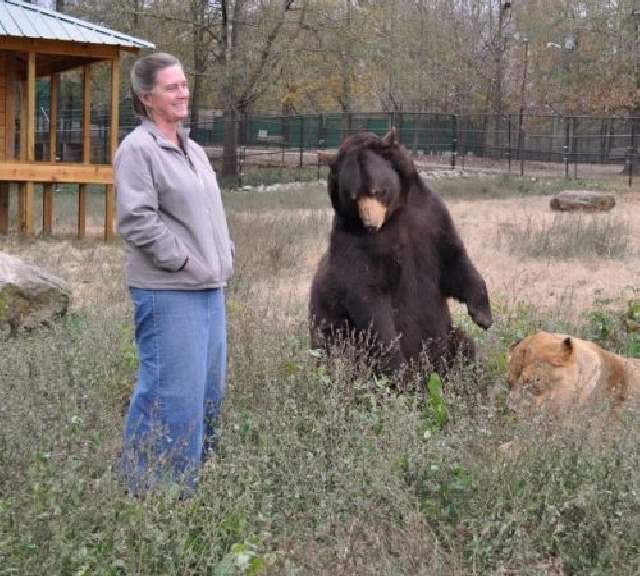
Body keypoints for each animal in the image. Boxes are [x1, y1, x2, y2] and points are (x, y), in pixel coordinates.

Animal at [308, 128, 492, 376]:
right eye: (353, 196)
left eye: (376, 190)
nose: (370, 223)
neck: (394, 215)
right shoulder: (357, 245)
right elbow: (369, 298)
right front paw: (396, 363)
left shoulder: (430, 220)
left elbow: (453, 261)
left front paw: (482, 315)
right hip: (339, 338)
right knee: (345, 355)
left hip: (448, 338)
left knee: (465, 347)